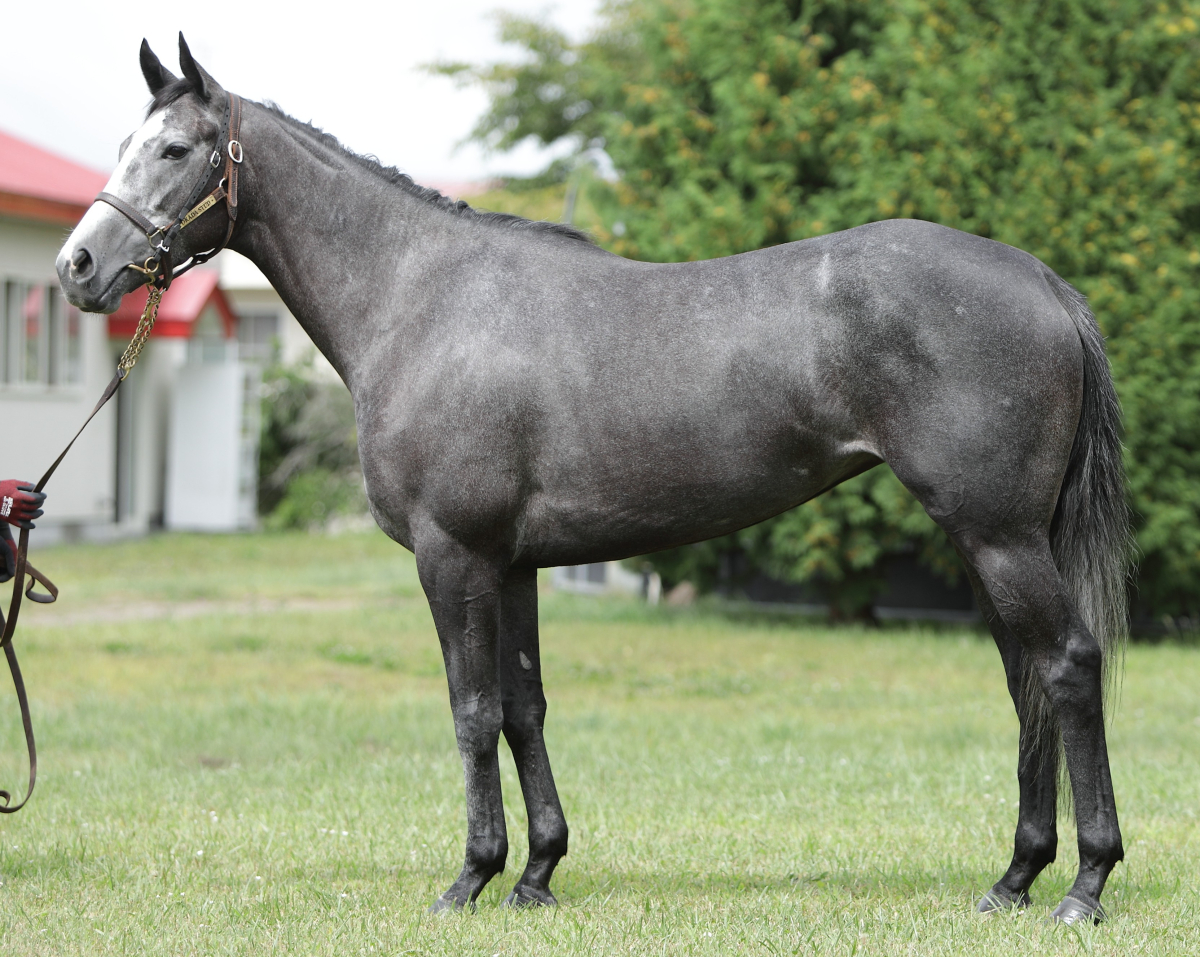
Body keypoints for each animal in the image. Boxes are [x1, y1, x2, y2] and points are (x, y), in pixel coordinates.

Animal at [56, 35, 1131, 924]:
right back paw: (1013, 878)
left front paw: (470, 877)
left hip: (997, 535)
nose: (78, 266)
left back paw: (1083, 884)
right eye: (125, 142)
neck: (419, 298)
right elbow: (524, 707)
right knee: (1027, 680)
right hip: (991, 541)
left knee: (1069, 666)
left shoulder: (454, 556)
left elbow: (472, 710)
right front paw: (536, 872)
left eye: (175, 150)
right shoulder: (514, 563)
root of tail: (1043, 282)